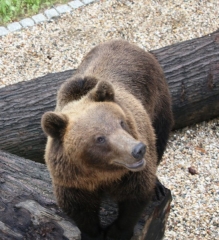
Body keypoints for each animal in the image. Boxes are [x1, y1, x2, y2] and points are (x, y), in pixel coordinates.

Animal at [41, 39, 173, 240]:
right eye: (100, 138)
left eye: (122, 123)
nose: (138, 149)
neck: (101, 174)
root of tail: (124, 42)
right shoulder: (72, 181)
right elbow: (79, 209)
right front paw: (92, 233)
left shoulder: (130, 175)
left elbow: (135, 197)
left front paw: (116, 232)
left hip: (158, 101)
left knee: (159, 138)